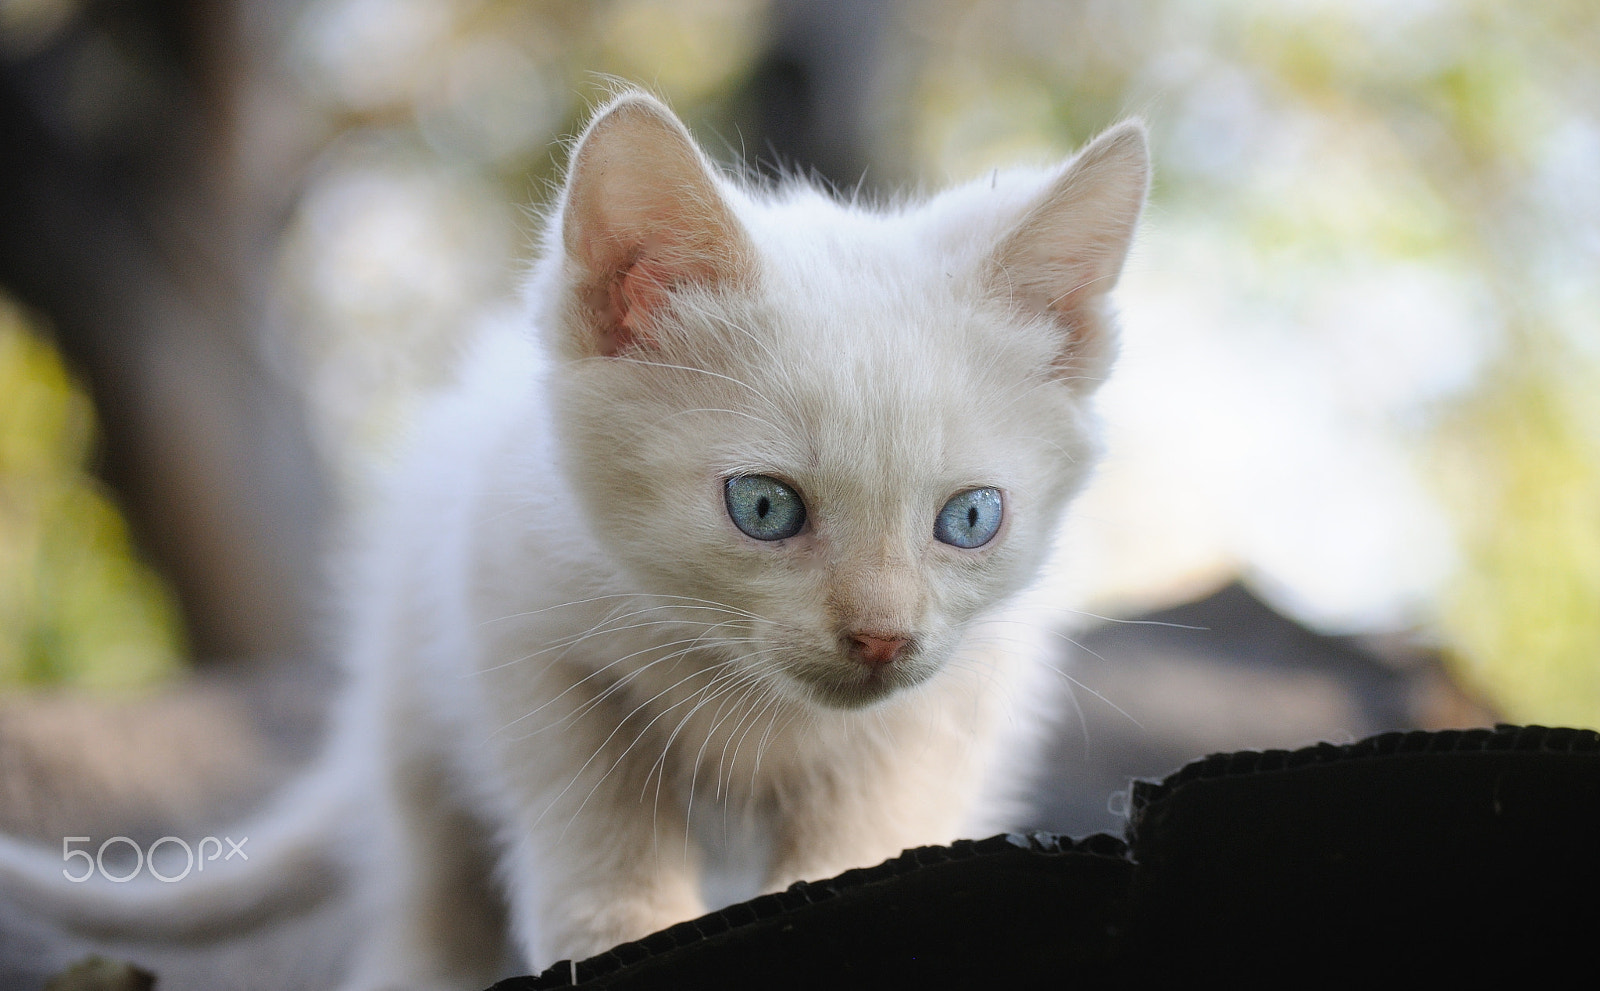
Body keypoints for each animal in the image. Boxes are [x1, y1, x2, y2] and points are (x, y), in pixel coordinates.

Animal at [0, 89, 1152, 986]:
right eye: (764, 507)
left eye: (970, 518)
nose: (881, 637)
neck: (756, 701)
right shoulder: (521, 625)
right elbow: (597, 849)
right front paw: (622, 930)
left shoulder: (941, 716)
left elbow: (862, 859)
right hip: (415, 684)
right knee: (430, 870)